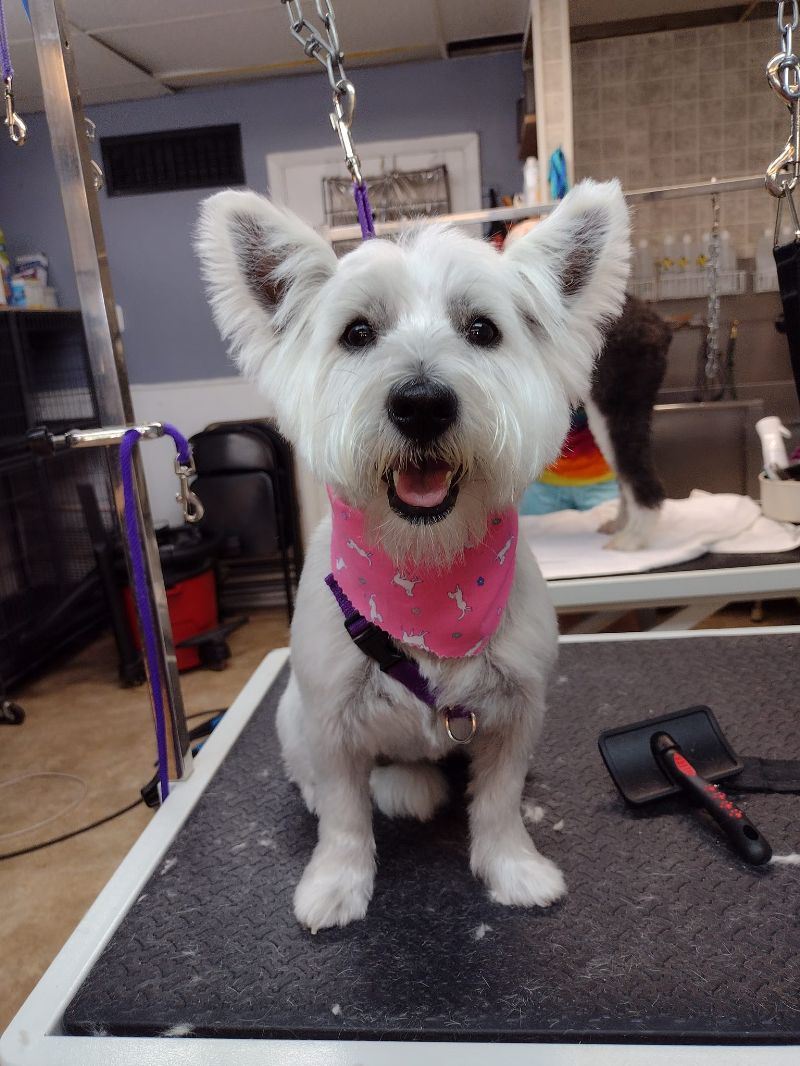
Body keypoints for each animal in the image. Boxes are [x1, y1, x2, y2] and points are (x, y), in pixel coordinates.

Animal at [196, 179, 631, 929]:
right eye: (357, 333)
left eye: (483, 330)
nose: (422, 402)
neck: (426, 571)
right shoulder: (331, 719)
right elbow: (343, 814)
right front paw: (335, 885)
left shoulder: (515, 711)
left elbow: (498, 801)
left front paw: (514, 869)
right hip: (291, 713)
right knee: (319, 776)